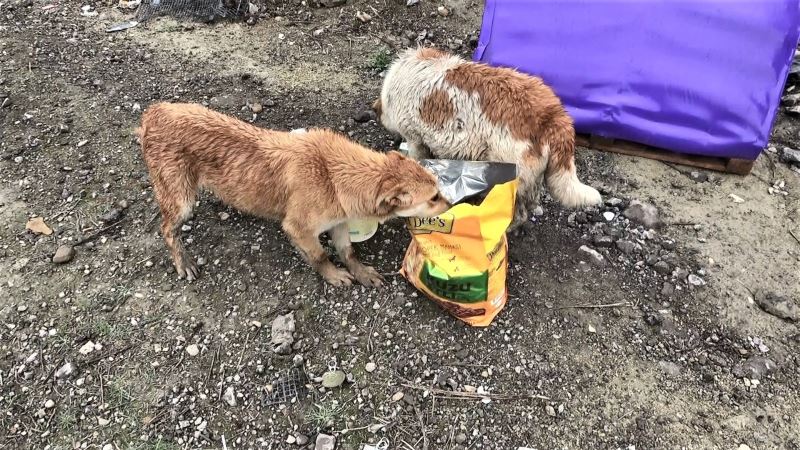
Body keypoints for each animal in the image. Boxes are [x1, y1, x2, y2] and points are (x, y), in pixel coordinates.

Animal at [138, 103, 450, 284]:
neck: (332, 173)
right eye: (433, 197)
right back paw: (183, 262)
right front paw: (334, 275)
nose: (451, 204)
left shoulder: (339, 221)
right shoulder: (298, 228)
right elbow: (320, 256)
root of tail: (153, 112)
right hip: (180, 199)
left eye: (438, 189)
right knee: (167, 229)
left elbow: (348, 250)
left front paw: (361, 272)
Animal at [374, 47, 600, 227]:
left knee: (519, 213)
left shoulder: (414, 137)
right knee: (532, 200)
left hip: (514, 175)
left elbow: (416, 155)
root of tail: (554, 115)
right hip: (531, 176)